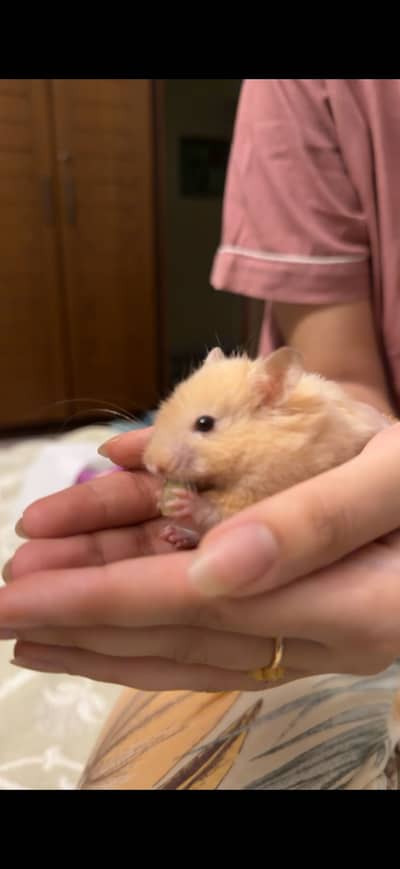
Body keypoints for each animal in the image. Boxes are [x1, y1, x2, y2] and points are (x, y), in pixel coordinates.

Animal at [143, 346, 392, 549]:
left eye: (205, 423)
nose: (152, 466)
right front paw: (158, 498)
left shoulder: (263, 489)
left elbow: (218, 510)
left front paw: (183, 501)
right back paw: (175, 535)